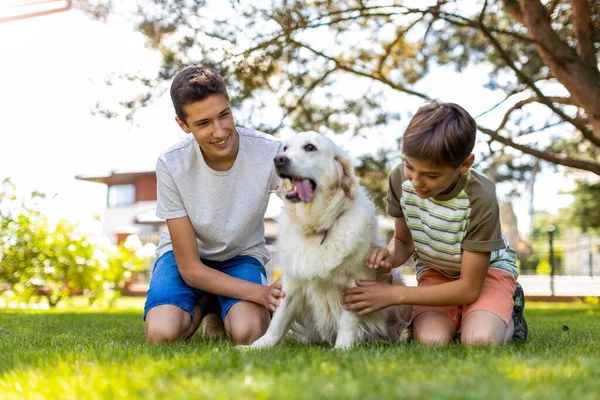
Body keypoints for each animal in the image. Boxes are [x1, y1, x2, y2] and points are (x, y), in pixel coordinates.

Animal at [250, 132, 412, 350]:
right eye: (285, 148)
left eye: (310, 147)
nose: (279, 160)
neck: (319, 227)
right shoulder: (292, 281)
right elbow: (279, 319)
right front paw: (257, 346)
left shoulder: (355, 283)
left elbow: (347, 321)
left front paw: (342, 349)